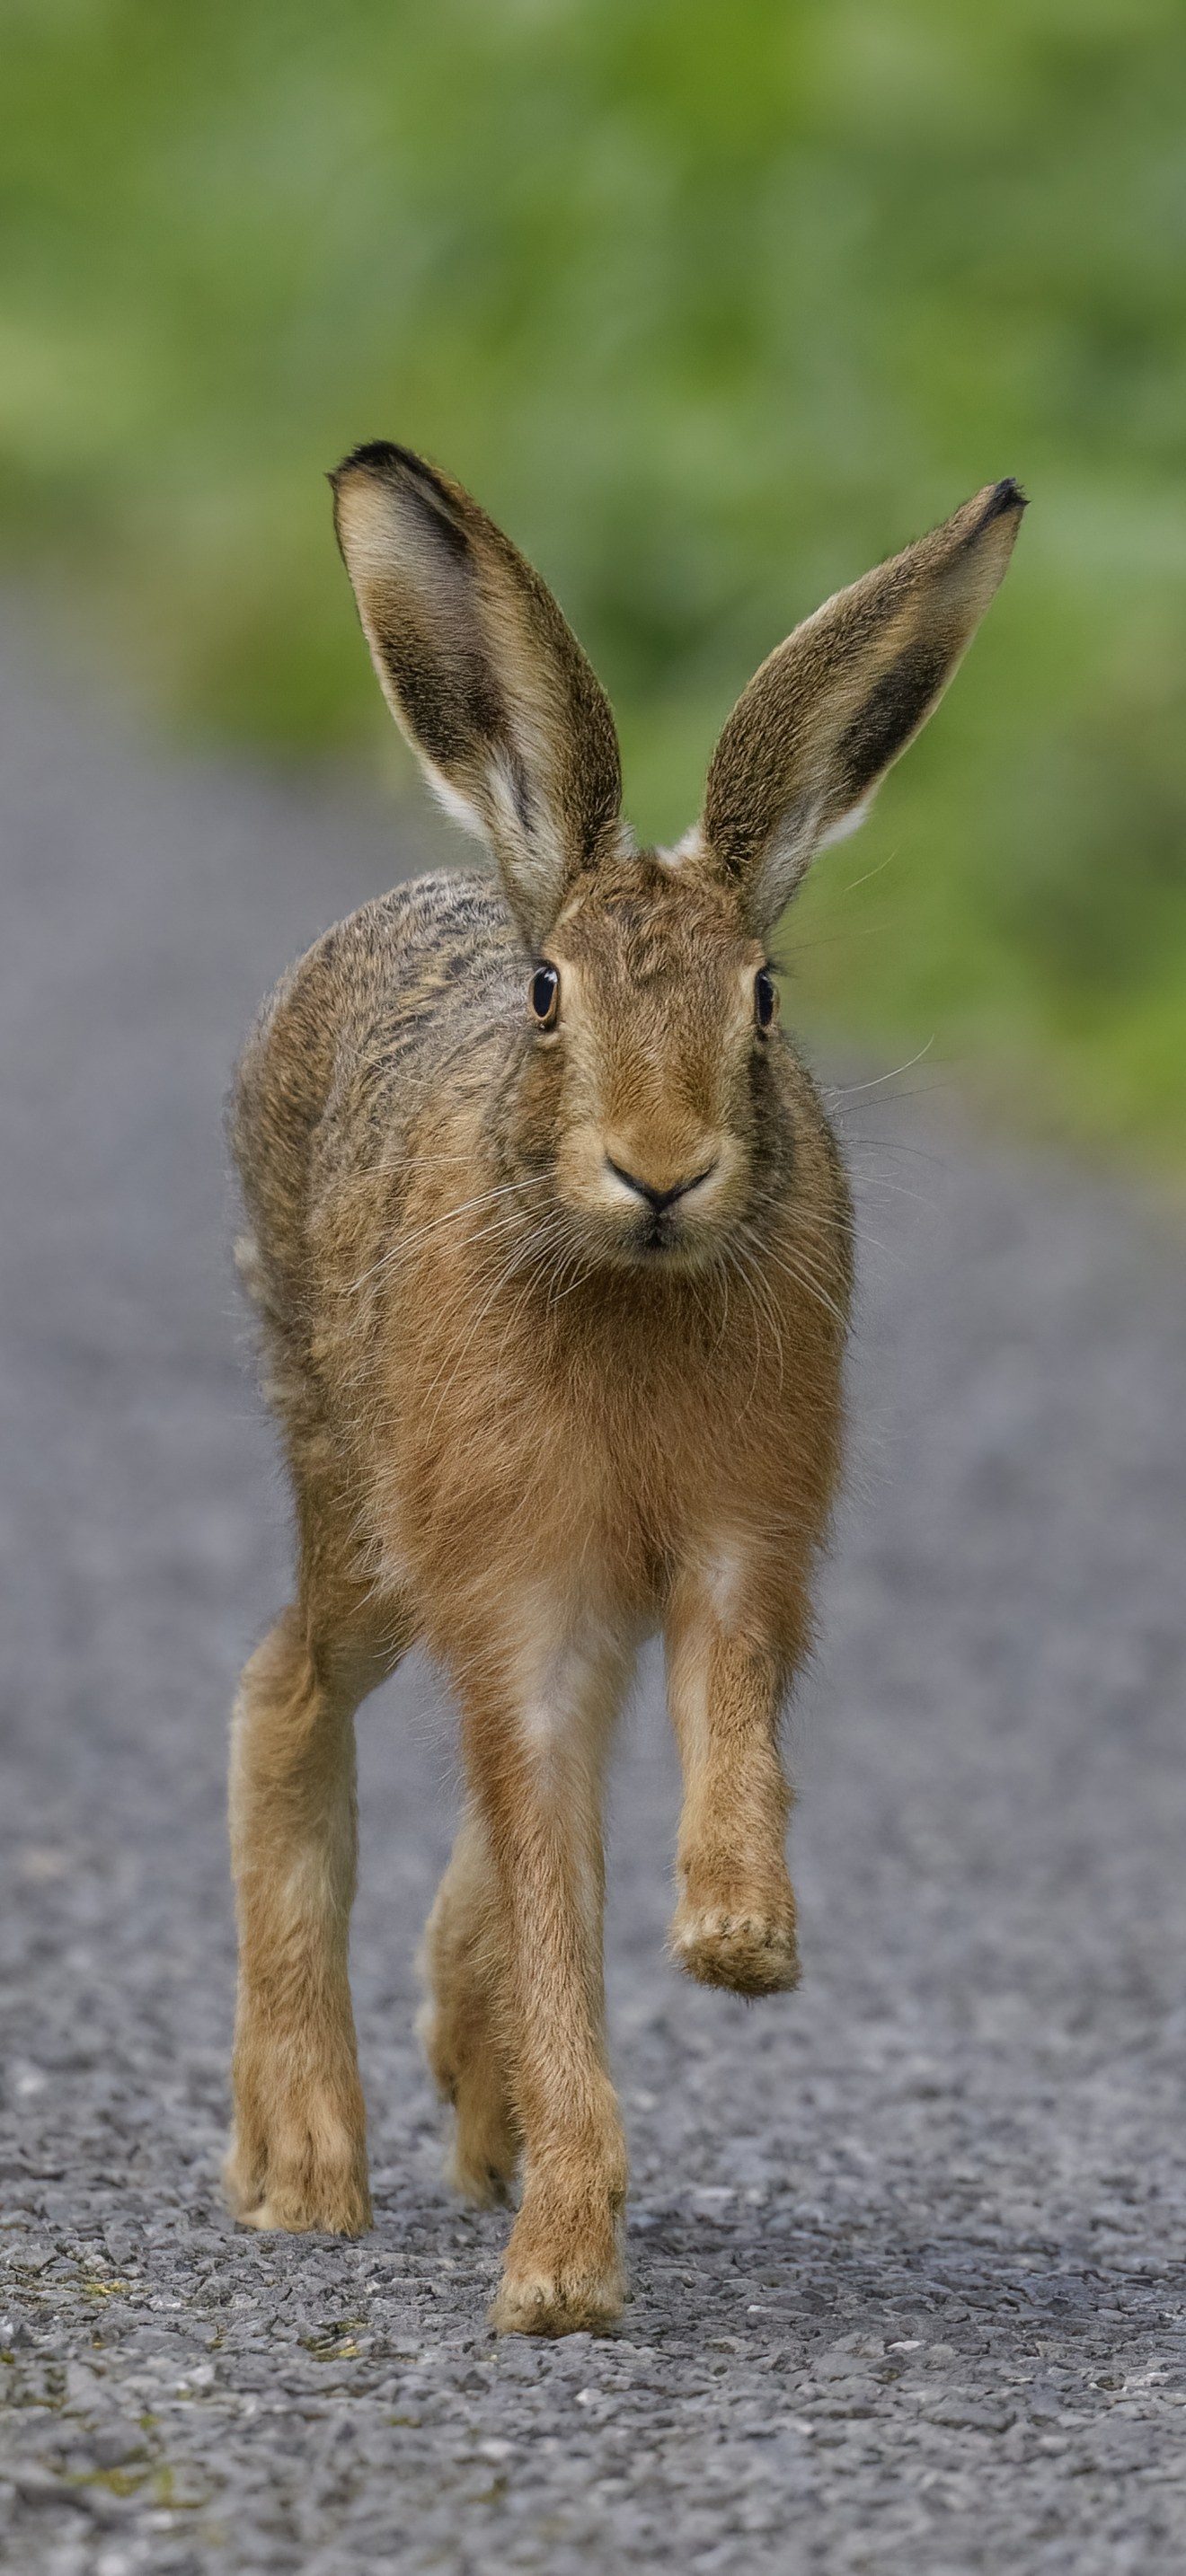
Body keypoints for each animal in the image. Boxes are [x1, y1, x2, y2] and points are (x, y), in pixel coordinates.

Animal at [224, 442, 1023, 2336]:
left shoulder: (745, 1529)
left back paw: (466, 2091)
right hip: (356, 1503)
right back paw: (302, 2162)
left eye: (766, 997)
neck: (636, 1284)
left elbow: (719, 1723)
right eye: (546, 995)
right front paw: (560, 2282)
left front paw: (737, 1936)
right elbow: (551, 1899)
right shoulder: (520, 1587)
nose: (661, 1169)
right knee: (286, 1693)